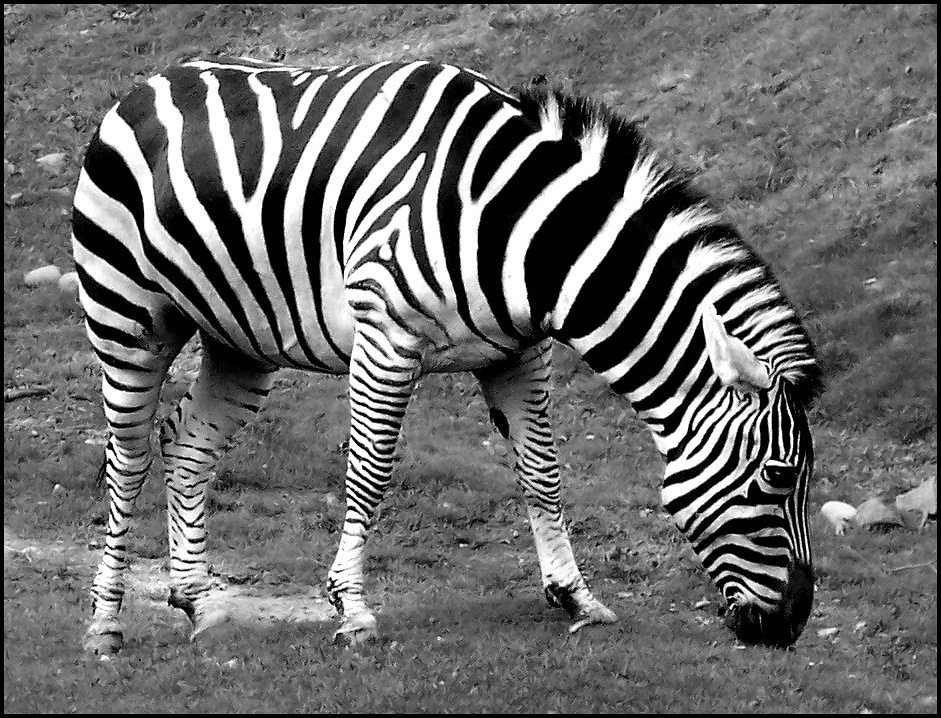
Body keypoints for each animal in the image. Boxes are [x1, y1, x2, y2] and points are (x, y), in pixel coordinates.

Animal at [73, 57, 821, 654]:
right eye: (778, 478)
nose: (790, 626)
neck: (524, 231)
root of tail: (144, 87)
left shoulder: (517, 353)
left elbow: (542, 472)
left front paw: (574, 596)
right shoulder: (386, 337)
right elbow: (369, 474)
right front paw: (352, 609)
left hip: (239, 339)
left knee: (187, 444)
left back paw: (199, 602)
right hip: (128, 313)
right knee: (127, 457)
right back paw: (105, 625)